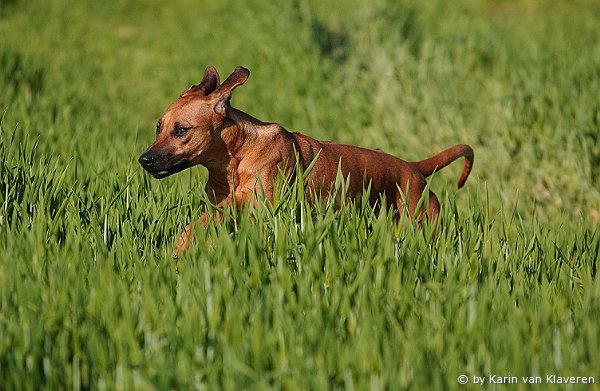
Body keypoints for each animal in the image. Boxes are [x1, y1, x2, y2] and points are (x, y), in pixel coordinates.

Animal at [139, 66, 474, 258]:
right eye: (158, 127)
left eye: (181, 130)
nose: (145, 160)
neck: (235, 157)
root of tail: (415, 169)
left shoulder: (259, 202)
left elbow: (212, 217)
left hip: (421, 222)